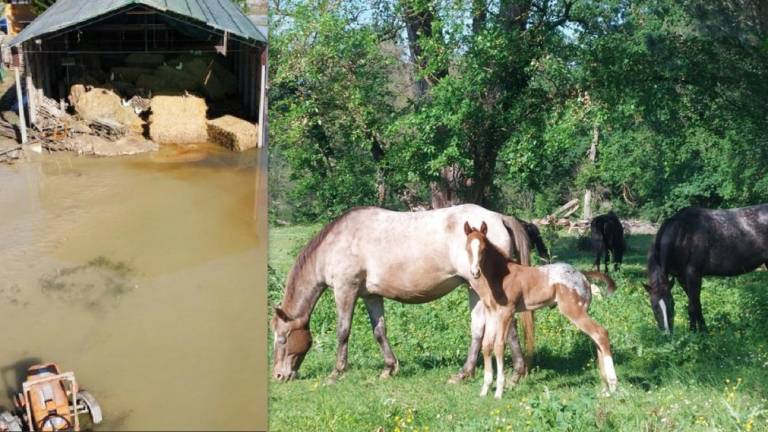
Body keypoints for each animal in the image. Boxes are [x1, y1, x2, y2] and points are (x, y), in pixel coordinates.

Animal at [272, 204, 536, 384]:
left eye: (282, 339)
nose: (278, 375)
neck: (338, 241)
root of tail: (499, 217)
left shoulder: (345, 289)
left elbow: (343, 331)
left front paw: (336, 372)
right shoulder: (370, 295)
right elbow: (379, 331)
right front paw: (389, 368)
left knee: (507, 325)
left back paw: (516, 372)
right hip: (473, 288)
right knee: (479, 329)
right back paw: (465, 373)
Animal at [462, 221, 616, 400]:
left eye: (483, 248)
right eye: (467, 248)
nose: (475, 272)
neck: (500, 276)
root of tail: (582, 275)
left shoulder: (506, 312)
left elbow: (499, 346)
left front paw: (499, 391)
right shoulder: (492, 313)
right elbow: (487, 345)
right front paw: (485, 389)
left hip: (573, 311)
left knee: (600, 333)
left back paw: (613, 386)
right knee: (595, 338)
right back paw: (605, 389)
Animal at [640, 204, 768, 332]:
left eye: (672, 303)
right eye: (654, 307)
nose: (668, 333)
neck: (682, 234)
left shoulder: (693, 274)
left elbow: (693, 306)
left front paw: (694, 332)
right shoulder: (681, 278)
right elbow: (696, 304)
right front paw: (702, 331)